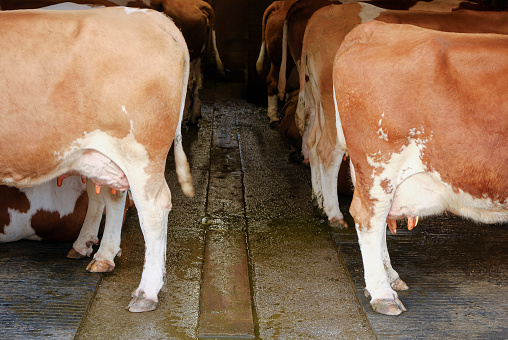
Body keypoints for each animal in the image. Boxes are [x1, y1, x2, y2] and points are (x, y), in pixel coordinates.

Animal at [0, 5, 192, 314]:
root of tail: (150, 16)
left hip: (140, 153)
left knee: (153, 209)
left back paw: (146, 292)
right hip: (103, 156)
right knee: (110, 195)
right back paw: (97, 253)